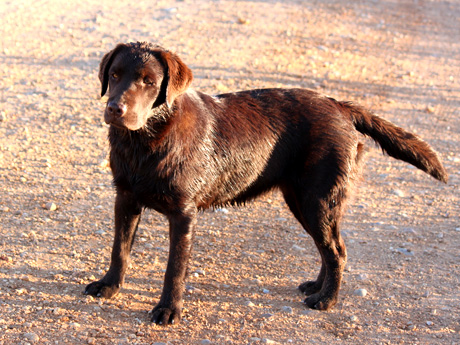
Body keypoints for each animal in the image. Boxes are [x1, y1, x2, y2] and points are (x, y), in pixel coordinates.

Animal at [84, 41, 448, 324]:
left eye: (148, 81)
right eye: (114, 75)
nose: (115, 108)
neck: (145, 142)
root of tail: (339, 106)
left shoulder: (184, 214)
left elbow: (175, 268)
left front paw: (168, 310)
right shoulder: (125, 198)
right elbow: (119, 249)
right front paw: (109, 285)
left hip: (319, 200)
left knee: (336, 250)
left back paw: (326, 300)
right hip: (302, 201)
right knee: (328, 248)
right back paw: (317, 287)